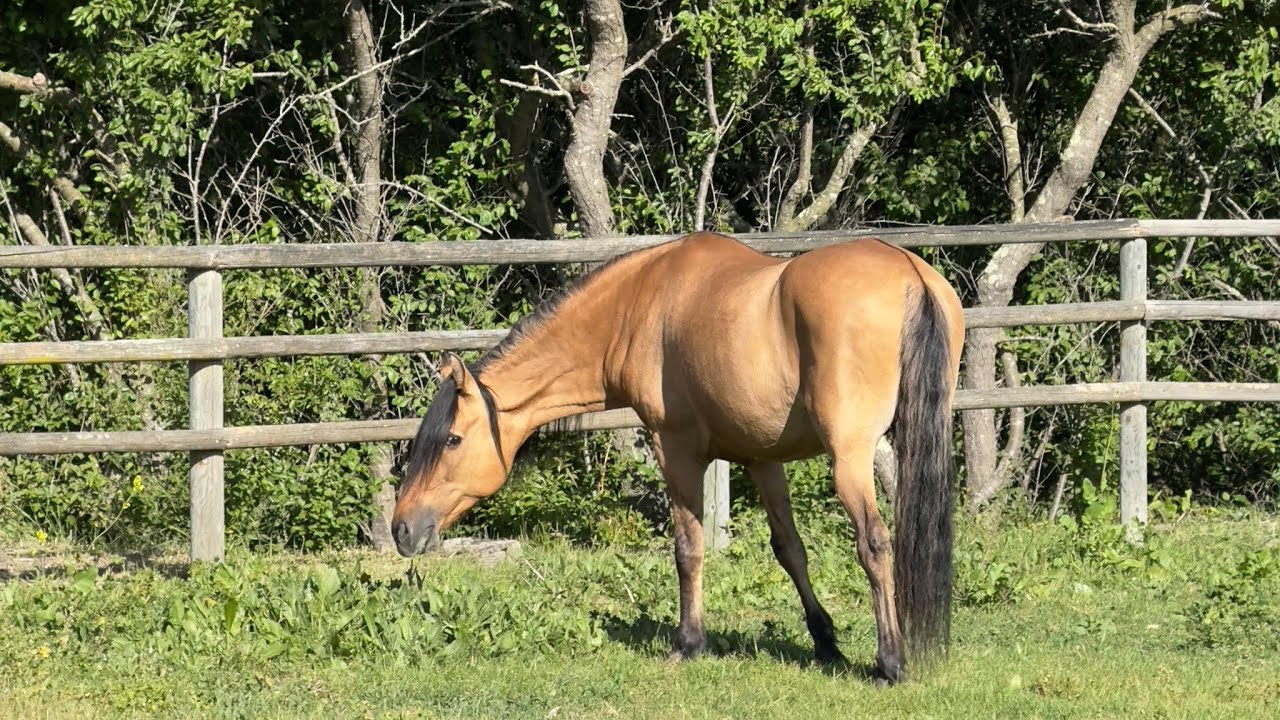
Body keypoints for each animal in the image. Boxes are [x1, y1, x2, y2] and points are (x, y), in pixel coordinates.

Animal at [391, 231, 964, 684]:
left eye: (451, 440)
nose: (401, 528)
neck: (641, 303)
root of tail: (909, 272)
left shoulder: (677, 450)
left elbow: (687, 549)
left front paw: (688, 642)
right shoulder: (761, 459)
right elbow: (790, 549)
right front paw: (825, 641)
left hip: (849, 458)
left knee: (874, 543)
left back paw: (890, 662)